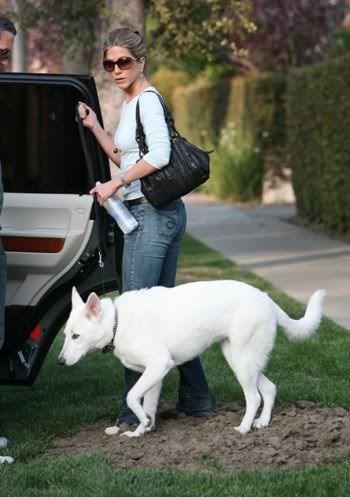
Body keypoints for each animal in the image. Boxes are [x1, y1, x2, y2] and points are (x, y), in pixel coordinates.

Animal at [58, 280, 326, 436]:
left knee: (254, 397)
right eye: (65, 335)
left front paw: (142, 422)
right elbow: (148, 405)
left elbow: (132, 396)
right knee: (269, 389)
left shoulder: (159, 365)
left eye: (76, 336)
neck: (117, 321)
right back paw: (262, 422)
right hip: (240, 358)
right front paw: (143, 430)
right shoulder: (154, 374)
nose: (59, 362)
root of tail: (267, 299)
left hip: (242, 360)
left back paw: (244, 428)